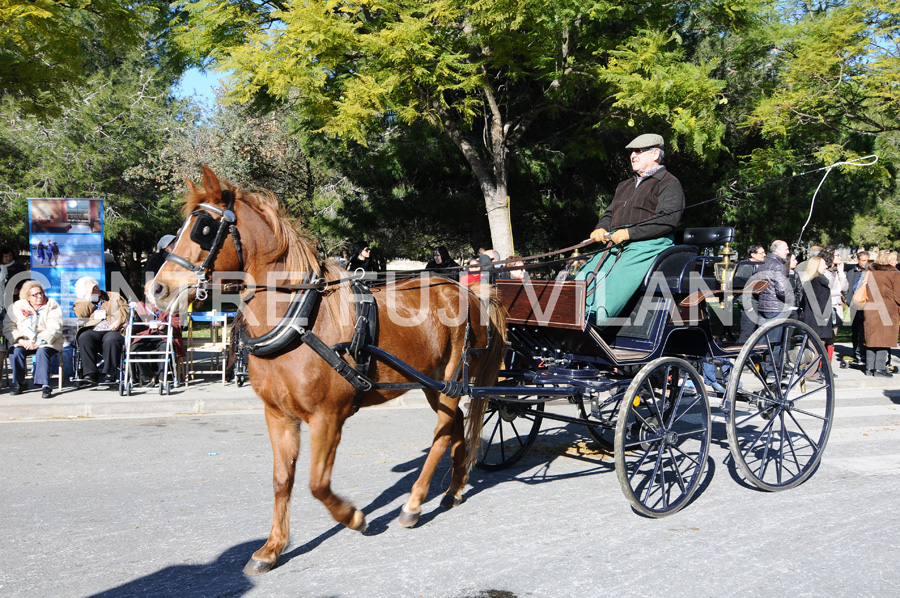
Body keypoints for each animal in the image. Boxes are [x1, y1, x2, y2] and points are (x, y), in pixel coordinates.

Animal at [148, 165, 506, 576]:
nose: (158, 288)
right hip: (434, 383)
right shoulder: (277, 415)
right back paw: (454, 489)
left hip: (448, 380)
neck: (297, 322)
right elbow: (281, 479)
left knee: (444, 432)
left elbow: (317, 483)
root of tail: (467, 292)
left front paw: (353, 517)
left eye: (204, 229)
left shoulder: (328, 416)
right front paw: (272, 548)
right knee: (456, 426)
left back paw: (414, 503)